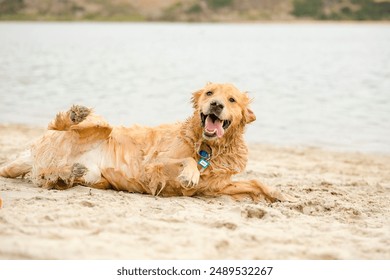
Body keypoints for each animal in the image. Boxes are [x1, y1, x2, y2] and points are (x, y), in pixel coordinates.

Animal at [0, 82, 286, 201]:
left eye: (232, 100)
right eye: (209, 93)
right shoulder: (154, 166)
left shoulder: (215, 187)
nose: (216, 105)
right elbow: (185, 159)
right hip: (101, 127)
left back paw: (66, 176)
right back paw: (74, 116)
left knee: (49, 177)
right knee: (57, 125)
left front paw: (275, 193)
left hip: (95, 177)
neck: (209, 148)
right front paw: (190, 174)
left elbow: (253, 182)